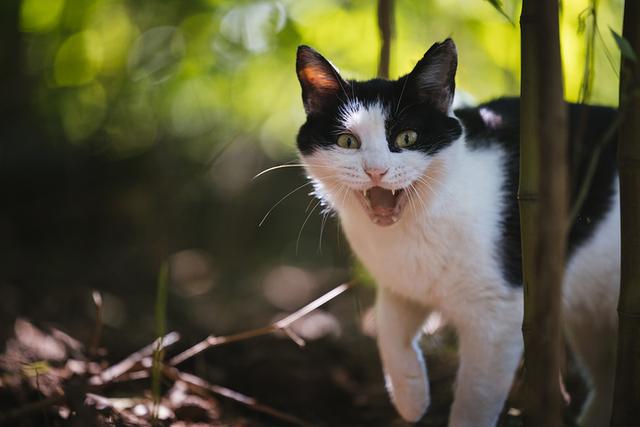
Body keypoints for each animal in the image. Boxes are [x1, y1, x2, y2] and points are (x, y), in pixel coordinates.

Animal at [296, 38, 620, 426]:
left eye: (407, 137)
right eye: (347, 142)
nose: (376, 171)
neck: (414, 228)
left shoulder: (497, 317)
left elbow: (474, 400)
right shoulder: (400, 285)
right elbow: (388, 332)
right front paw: (410, 397)